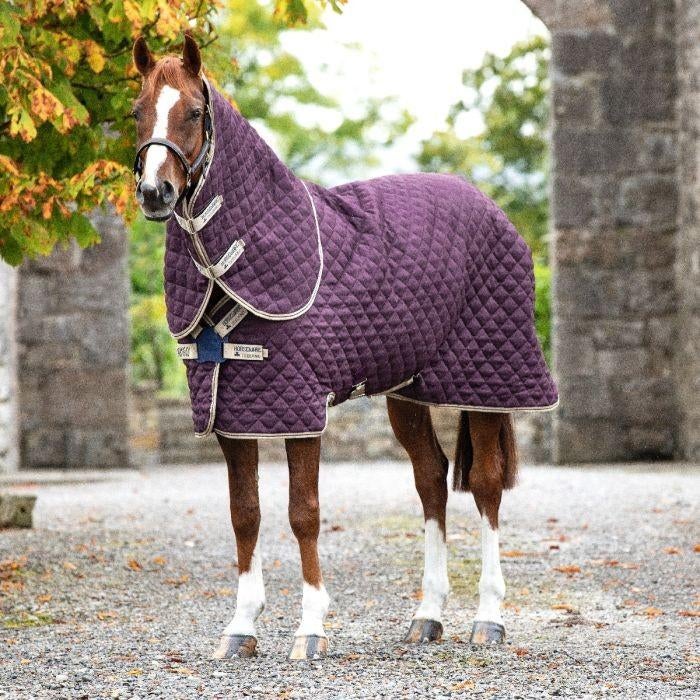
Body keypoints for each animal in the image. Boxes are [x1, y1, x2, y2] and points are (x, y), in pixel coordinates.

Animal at [131, 34, 557, 661]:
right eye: (138, 111)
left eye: (191, 111)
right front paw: (241, 628)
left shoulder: (299, 408)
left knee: (484, 485)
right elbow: (244, 514)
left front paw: (311, 629)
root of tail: (491, 209)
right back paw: (427, 616)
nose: (155, 193)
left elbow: (303, 513)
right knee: (431, 479)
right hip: (407, 392)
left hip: (488, 384)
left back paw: (488, 618)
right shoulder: (235, 409)